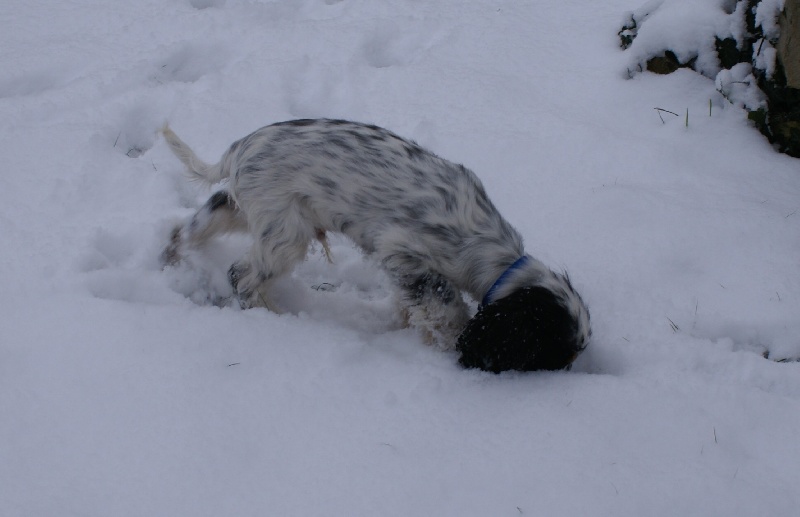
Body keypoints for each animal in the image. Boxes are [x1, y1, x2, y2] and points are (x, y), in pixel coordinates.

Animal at [159, 118, 592, 368]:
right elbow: (444, 305)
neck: (495, 258)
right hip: (284, 234)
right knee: (241, 275)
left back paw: (171, 256)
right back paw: (273, 317)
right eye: (554, 353)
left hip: (251, 211)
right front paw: (447, 339)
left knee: (192, 225)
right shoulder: (402, 251)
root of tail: (239, 149)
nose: (570, 371)